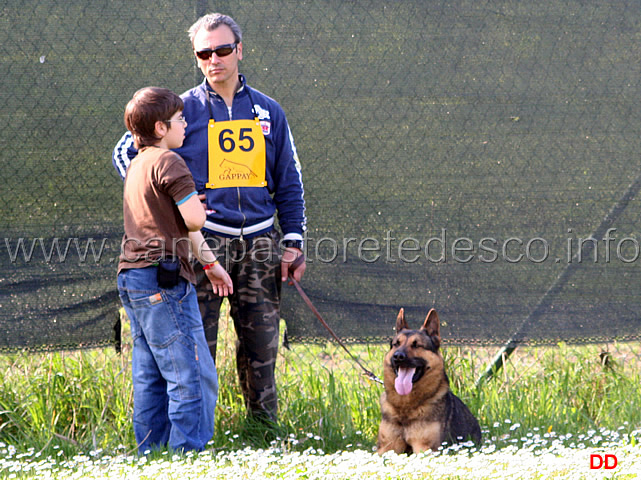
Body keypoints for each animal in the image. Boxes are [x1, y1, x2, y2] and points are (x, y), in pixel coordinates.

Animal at [376, 308, 480, 454]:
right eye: (396, 344)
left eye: (416, 345)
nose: (398, 356)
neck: (406, 407)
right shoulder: (387, 447)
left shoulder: (424, 448)